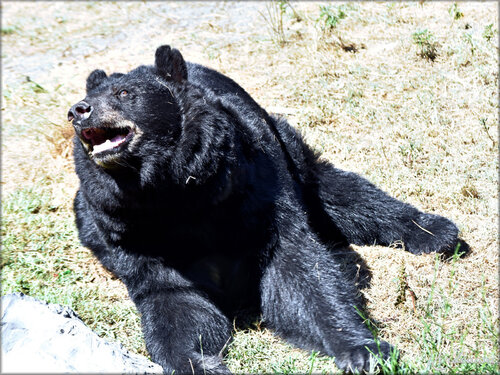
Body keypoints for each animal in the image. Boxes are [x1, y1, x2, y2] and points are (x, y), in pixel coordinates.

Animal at [68, 45, 466, 374]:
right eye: (88, 97)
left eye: (125, 94)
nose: (78, 110)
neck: (170, 192)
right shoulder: (132, 233)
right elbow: (174, 297)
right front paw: (196, 362)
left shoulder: (255, 192)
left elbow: (297, 270)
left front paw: (363, 351)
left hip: (288, 148)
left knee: (337, 192)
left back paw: (436, 232)